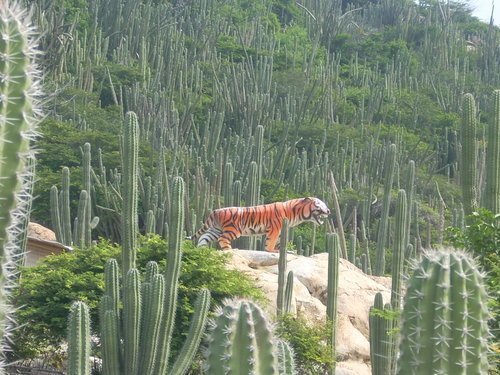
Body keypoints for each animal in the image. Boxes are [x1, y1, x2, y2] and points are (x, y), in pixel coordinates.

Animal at [193, 197, 330, 253]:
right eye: (320, 204)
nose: (329, 211)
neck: (295, 213)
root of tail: (215, 211)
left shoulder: (280, 230)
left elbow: (279, 242)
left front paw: (285, 250)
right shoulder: (275, 228)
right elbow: (271, 241)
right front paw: (271, 251)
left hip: (214, 230)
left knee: (203, 238)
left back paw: (201, 251)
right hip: (233, 230)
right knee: (223, 239)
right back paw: (230, 250)